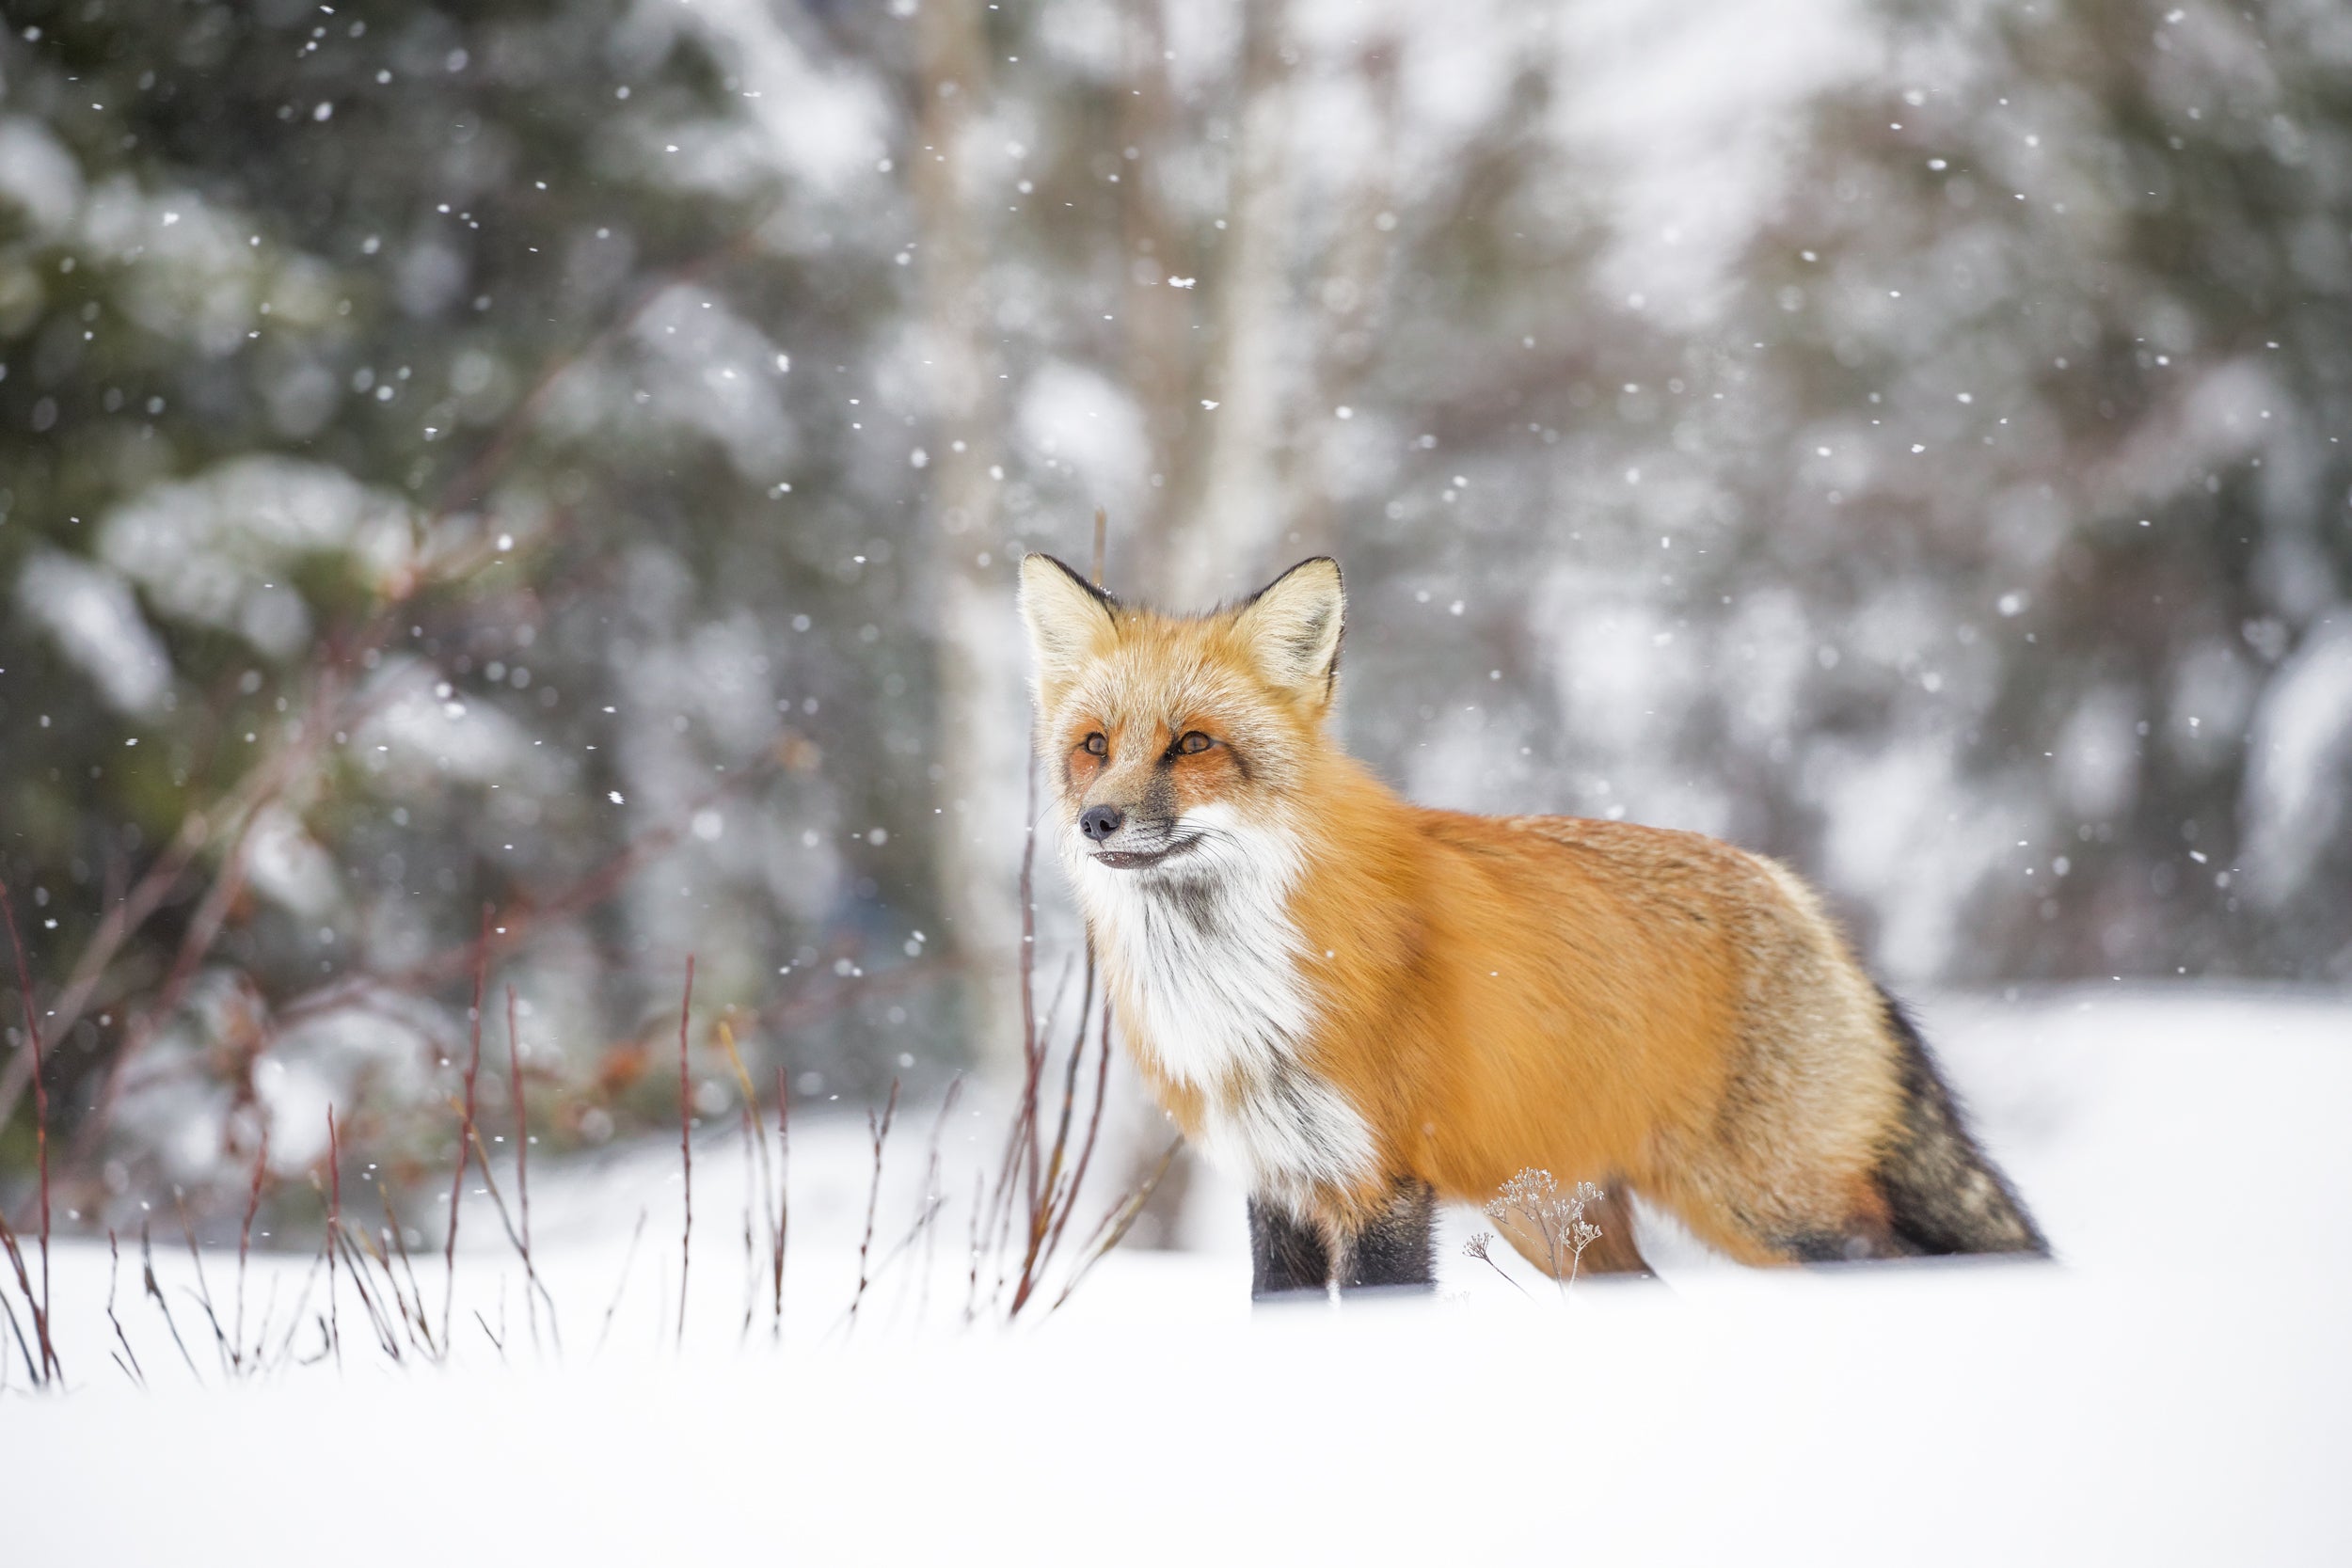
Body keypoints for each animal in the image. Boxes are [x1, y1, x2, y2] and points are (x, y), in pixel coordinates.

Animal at [1017, 552, 2047, 1297]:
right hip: (1561, 1222)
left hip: (1775, 1208)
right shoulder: (1281, 1182)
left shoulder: (1385, 1182)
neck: (1241, 997)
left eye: (1194, 743)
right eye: (1094, 746)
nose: (1096, 820)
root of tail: (1799, 896)